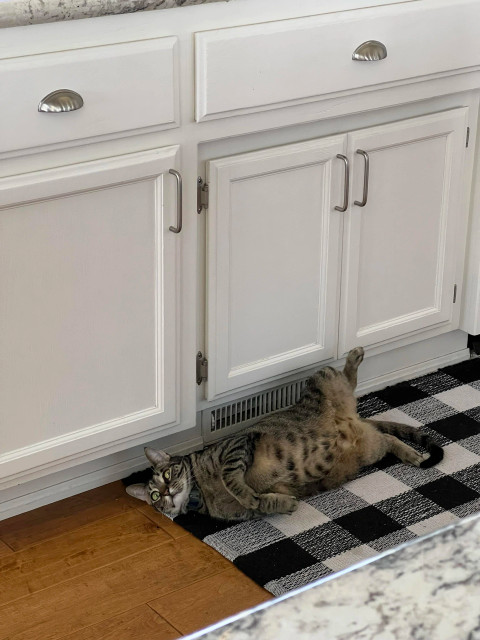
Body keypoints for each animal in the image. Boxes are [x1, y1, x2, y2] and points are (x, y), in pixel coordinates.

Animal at [126, 348, 442, 524]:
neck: (201, 492)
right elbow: (266, 504)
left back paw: (355, 355)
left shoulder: (236, 446)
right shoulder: (247, 513)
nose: (167, 492)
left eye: (168, 476)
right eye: (154, 495)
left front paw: (247, 494)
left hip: (321, 377)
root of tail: (353, 420)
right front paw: (282, 503)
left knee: (348, 379)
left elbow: (231, 480)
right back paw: (412, 455)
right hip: (369, 449)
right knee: (389, 440)